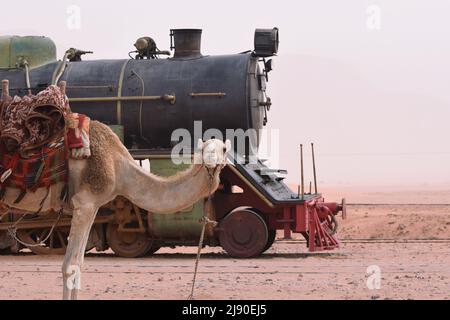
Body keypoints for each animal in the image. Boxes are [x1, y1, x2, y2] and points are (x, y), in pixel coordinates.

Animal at [0, 81, 230, 298]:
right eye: (203, 148)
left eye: (224, 148)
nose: (211, 161)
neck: (118, 167)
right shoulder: (85, 202)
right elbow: (70, 266)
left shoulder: (93, 206)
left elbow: (80, 263)